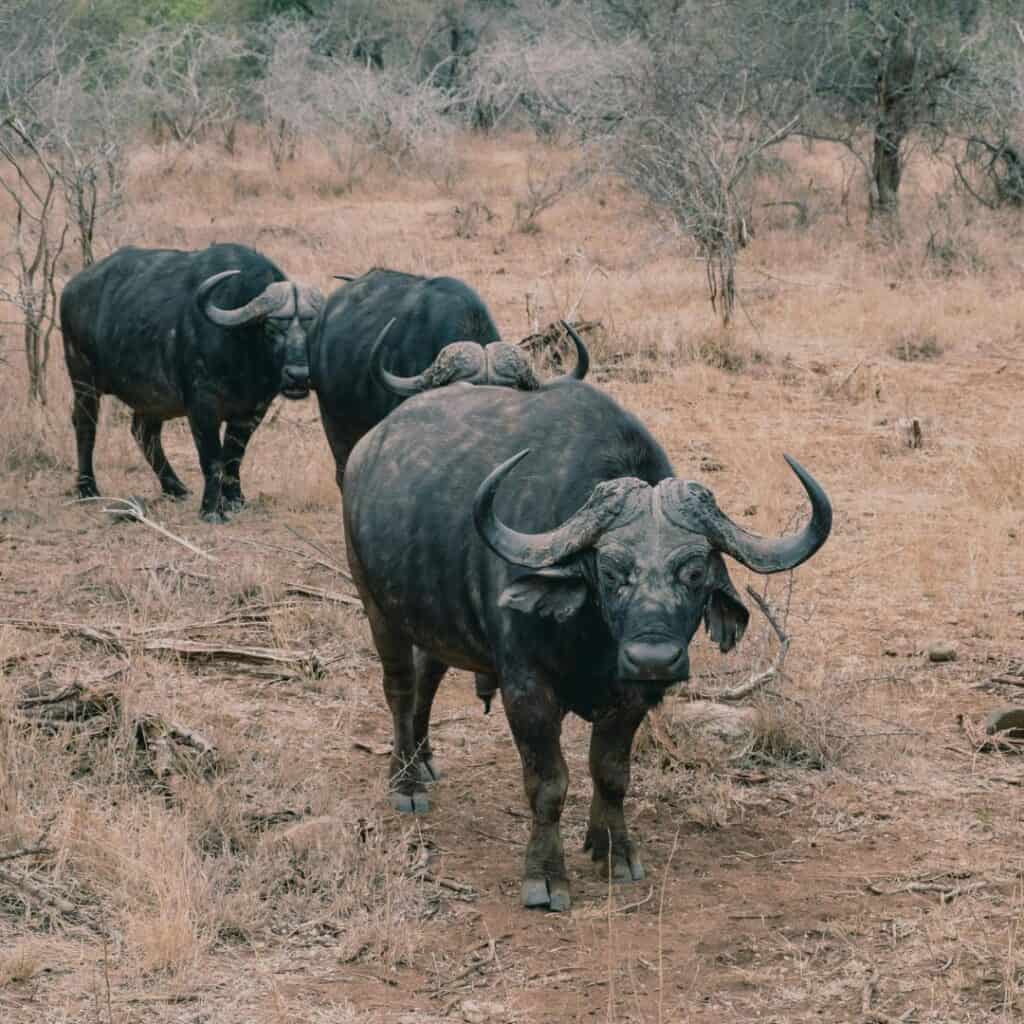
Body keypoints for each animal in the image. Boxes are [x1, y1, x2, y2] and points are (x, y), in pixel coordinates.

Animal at [60, 244, 323, 522]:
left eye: (313, 330)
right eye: (272, 328)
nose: (298, 375)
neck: (242, 353)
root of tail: (72, 288)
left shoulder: (253, 410)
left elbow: (234, 456)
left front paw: (235, 500)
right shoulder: (202, 407)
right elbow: (212, 458)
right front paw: (211, 509)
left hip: (152, 399)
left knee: (143, 431)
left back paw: (175, 487)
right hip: (84, 381)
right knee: (86, 426)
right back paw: (87, 488)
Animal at [343, 380, 831, 911]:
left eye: (695, 572)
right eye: (611, 570)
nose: (653, 658)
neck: (593, 642)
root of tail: (366, 449)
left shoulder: (632, 696)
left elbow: (611, 772)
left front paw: (613, 849)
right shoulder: (526, 690)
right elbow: (548, 783)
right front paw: (545, 876)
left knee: (428, 673)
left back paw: (425, 759)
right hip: (376, 605)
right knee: (400, 687)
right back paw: (406, 780)